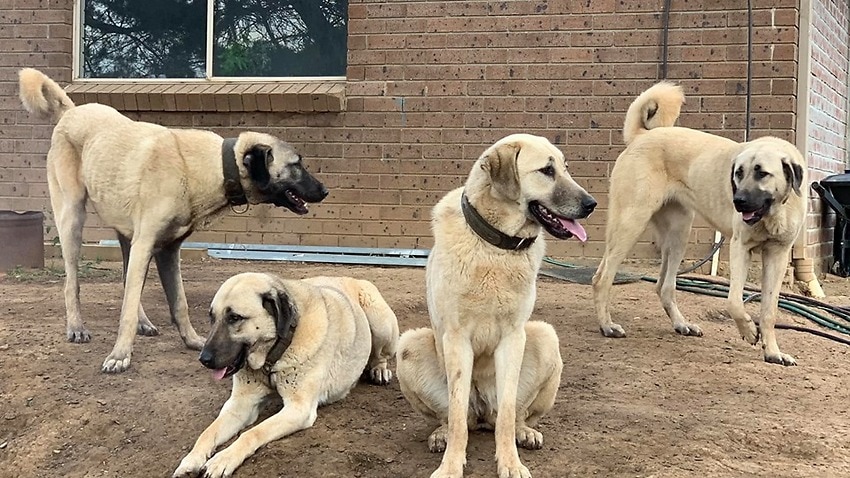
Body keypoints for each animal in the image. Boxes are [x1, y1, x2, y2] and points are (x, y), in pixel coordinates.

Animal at [17, 68, 328, 374]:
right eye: (296, 164)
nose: (325, 191)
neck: (209, 167)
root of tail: (71, 111)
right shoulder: (147, 245)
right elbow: (127, 311)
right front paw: (119, 355)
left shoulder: (167, 250)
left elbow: (179, 302)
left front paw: (191, 340)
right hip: (72, 219)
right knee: (73, 282)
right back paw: (77, 327)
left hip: (126, 235)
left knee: (127, 281)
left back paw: (143, 322)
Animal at [174, 272, 400, 478]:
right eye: (212, 317)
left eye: (235, 318)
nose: (203, 359)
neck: (273, 356)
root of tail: (349, 278)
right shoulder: (240, 405)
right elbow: (208, 432)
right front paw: (191, 460)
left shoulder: (298, 410)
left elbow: (251, 433)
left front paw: (222, 459)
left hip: (379, 322)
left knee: (380, 355)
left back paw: (379, 370)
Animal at [396, 134, 588, 478]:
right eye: (546, 171)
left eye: (566, 168)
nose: (591, 205)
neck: (496, 248)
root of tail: (483, 412)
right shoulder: (457, 339)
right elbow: (457, 414)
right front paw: (451, 466)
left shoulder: (512, 338)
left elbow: (510, 411)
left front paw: (510, 463)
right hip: (409, 344)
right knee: (454, 417)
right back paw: (441, 435)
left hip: (545, 337)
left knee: (513, 414)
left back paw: (524, 431)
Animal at [592, 82, 804, 366]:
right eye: (738, 173)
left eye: (762, 173)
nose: (737, 201)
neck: (773, 212)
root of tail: (641, 136)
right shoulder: (740, 248)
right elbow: (734, 302)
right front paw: (749, 330)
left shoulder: (777, 256)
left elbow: (769, 310)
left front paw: (772, 352)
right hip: (630, 223)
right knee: (602, 278)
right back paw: (607, 326)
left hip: (678, 233)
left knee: (664, 286)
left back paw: (681, 324)